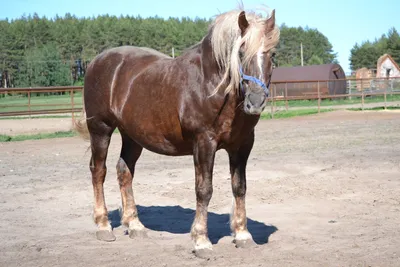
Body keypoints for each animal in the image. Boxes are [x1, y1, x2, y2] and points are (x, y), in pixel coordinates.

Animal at [76, 7, 282, 258]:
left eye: (272, 54)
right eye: (241, 52)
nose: (255, 102)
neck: (211, 85)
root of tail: (96, 62)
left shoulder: (242, 146)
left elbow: (239, 187)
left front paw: (243, 235)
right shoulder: (204, 143)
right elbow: (204, 190)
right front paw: (201, 241)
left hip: (132, 136)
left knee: (124, 171)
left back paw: (134, 225)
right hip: (100, 129)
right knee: (98, 171)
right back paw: (104, 226)